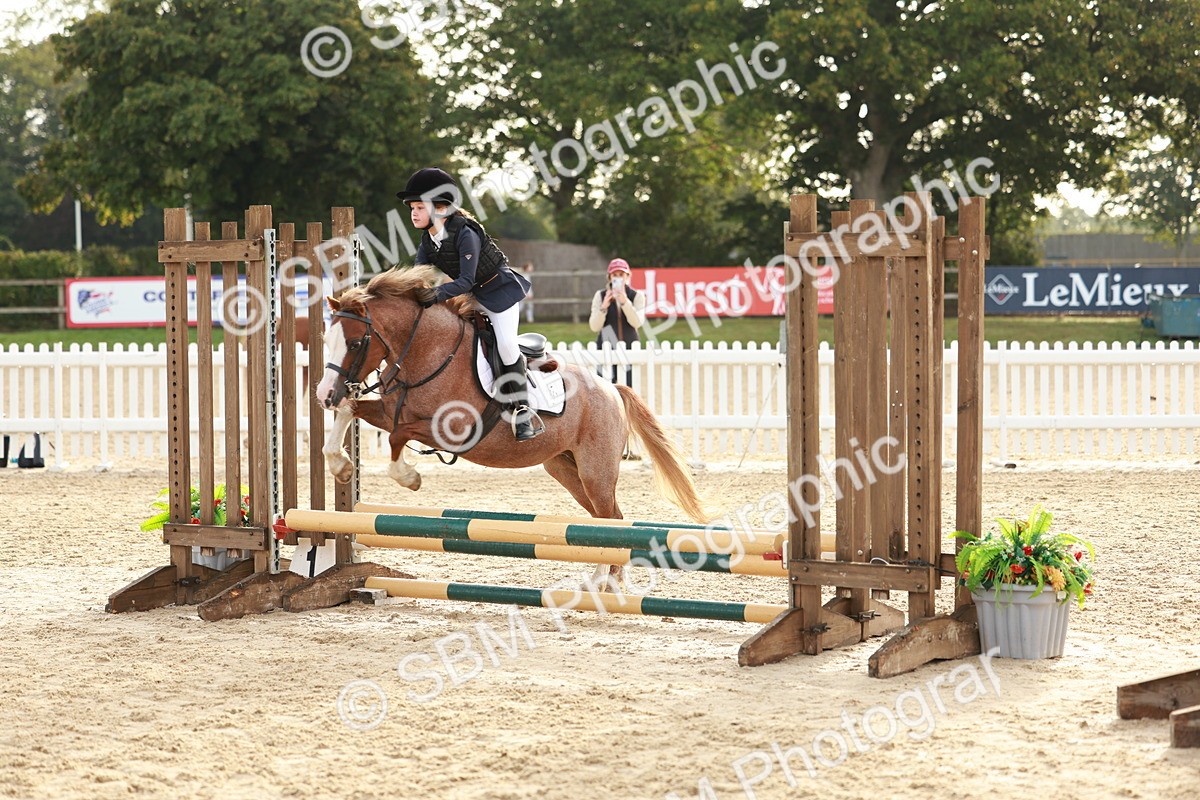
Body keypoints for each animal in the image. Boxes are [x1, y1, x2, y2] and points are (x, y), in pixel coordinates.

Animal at [313, 266, 709, 585]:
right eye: (325, 340)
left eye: (355, 343)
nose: (323, 395)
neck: (429, 353)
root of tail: (611, 387)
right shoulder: (387, 410)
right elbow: (351, 411)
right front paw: (341, 466)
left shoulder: (455, 430)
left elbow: (397, 435)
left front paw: (409, 478)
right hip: (565, 468)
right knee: (602, 518)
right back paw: (604, 578)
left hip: (595, 470)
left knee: (611, 518)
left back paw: (604, 581)